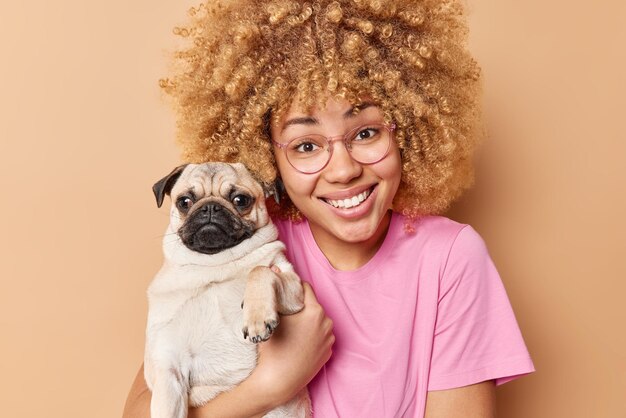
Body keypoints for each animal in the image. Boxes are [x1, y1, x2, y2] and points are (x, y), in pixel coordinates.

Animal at [143, 162, 310, 418]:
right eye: (184, 202)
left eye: (240, 200)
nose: (210, 207)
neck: (215, 265)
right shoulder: (168, 369)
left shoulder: (292, 285)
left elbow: (260, 270)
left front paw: (257, 318)